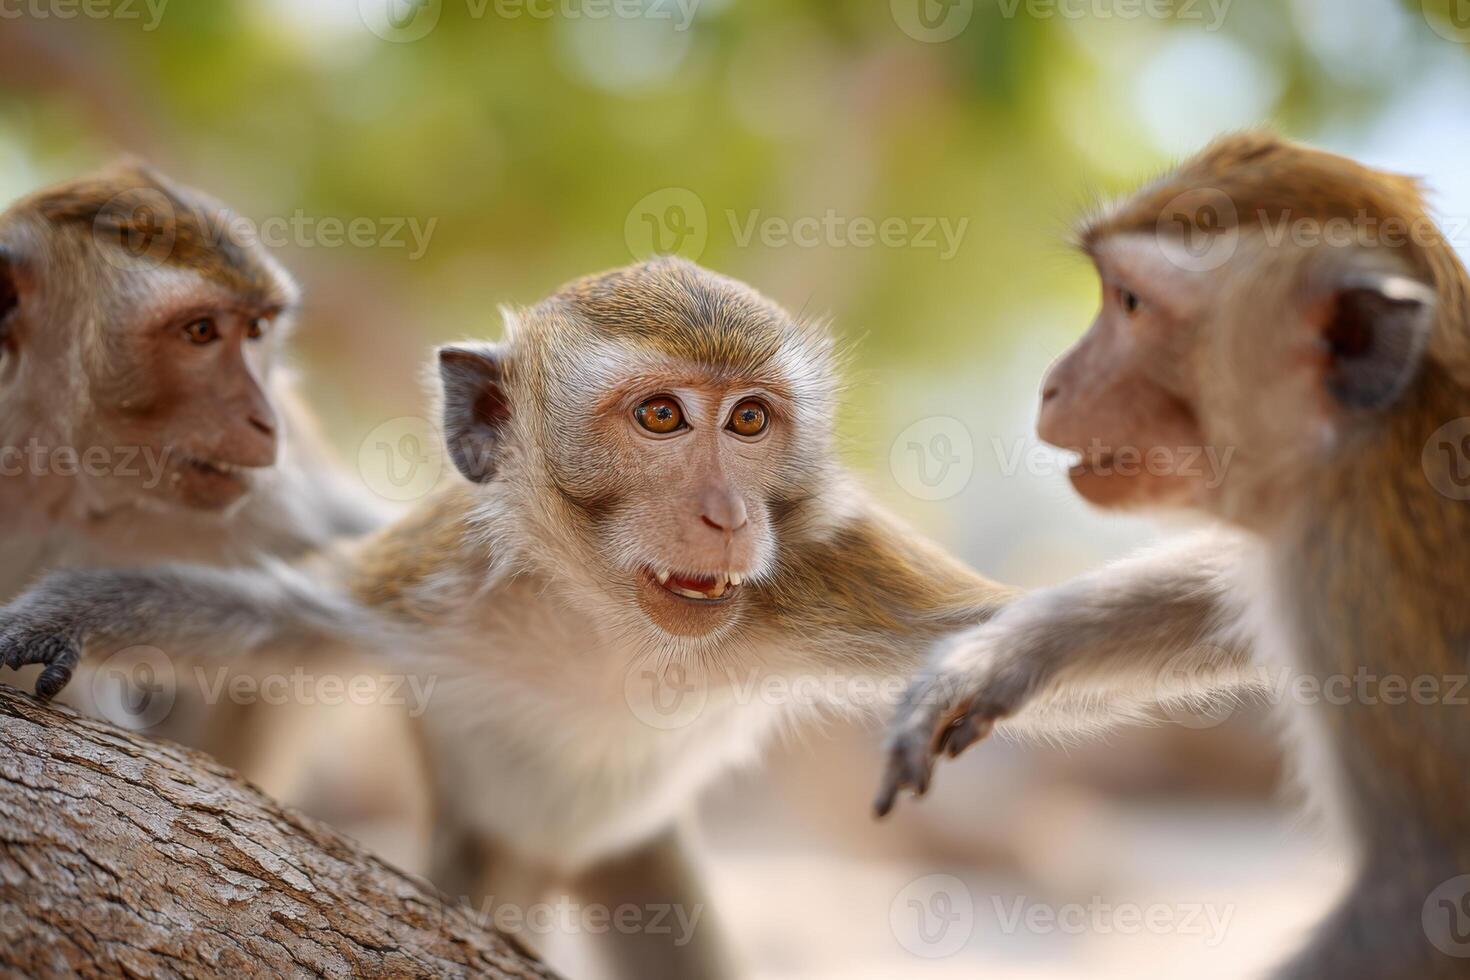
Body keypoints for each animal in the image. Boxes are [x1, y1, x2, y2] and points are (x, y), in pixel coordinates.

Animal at [0, 257, 1016, 979]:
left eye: (751, 422)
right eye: (661, 417)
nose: (728, 515)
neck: (614, 625)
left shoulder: (826, 569)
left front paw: (1000, 667)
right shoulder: (443, 576)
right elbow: (277, 623)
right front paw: (60, 614)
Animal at [877, 131, 1470, 978]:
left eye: (1129, 303)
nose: (1051, 385)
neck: (1382, 433)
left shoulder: (1355, 575)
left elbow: (1423, 889)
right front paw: (995, 657)